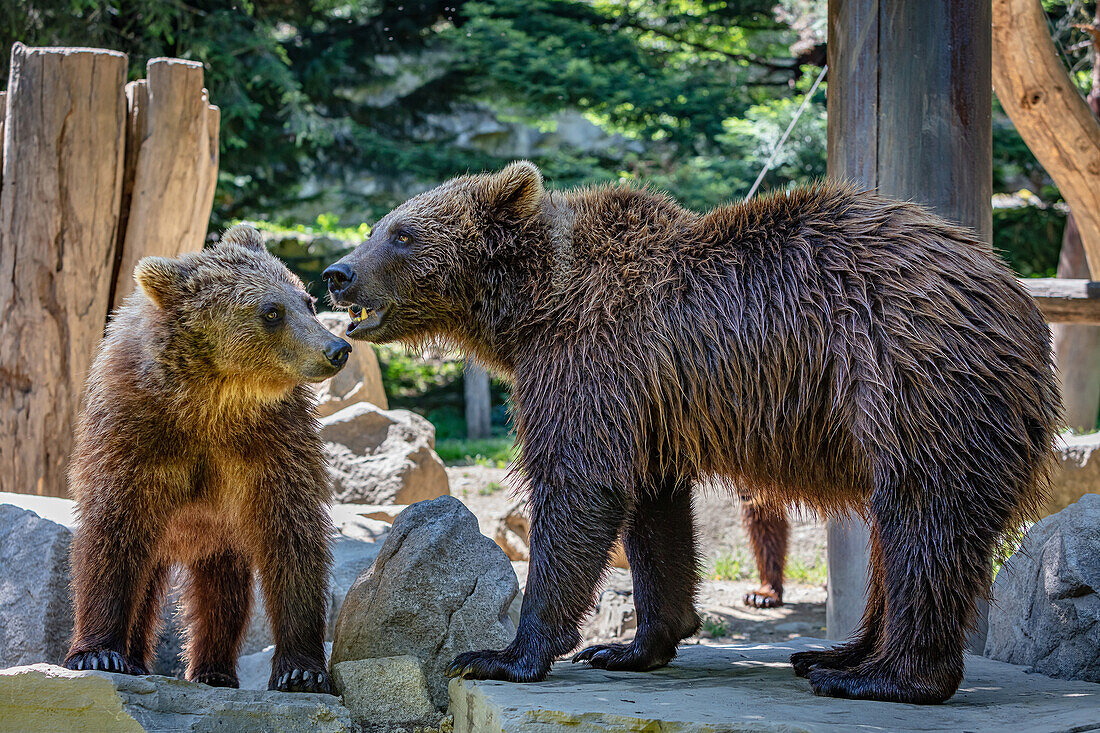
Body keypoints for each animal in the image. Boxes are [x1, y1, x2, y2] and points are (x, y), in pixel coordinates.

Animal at [321, 162, 1060, 699]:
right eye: (381, 225)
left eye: (403, 233)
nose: (336, 273)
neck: (533, 308)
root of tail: (1019, 298)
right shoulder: (650, 403)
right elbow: (654, 517)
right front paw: (629, 644)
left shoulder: (591, 357)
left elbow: (579, 485)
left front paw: (502, 653)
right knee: (895, 528)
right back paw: (838, 650)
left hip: (913, 376)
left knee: (924, 515)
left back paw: (881, 676)